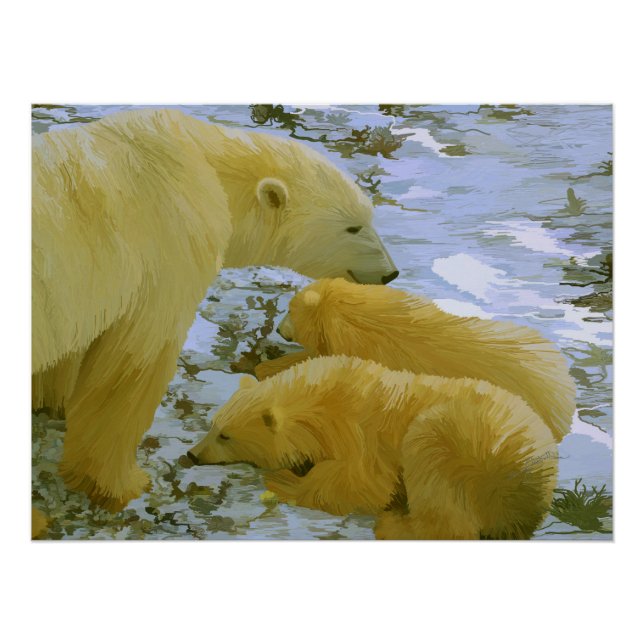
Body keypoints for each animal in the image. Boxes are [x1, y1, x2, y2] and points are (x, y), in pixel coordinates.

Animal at [32, 109, 398, 511]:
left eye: (369, 219)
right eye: (353, 227)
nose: (390, 273)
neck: (204, 164)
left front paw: (53, 403)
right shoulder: (168, 244)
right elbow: (134, 364)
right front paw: (121, 483)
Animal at [187, 356, 558, 539]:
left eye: (225, 436)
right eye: (213, 425)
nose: (192, 454)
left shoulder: (359, 431)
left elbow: (359, 483)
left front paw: (285, 480)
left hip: (459, 443)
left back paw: (392, 526)